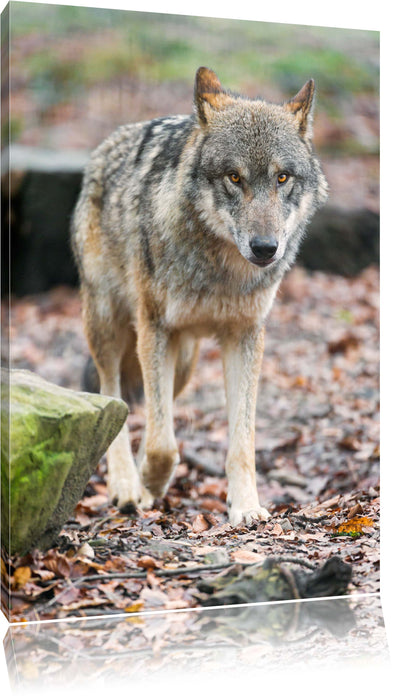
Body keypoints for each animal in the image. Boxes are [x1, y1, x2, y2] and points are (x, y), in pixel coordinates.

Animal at [71, 67, 328, 526]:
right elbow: (163, 445)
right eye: (234, 177)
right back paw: (126, 486)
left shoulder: (245, 337)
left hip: (183, 361)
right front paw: (147, 484)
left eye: (282, 178)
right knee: (111, 396)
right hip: (109, 327)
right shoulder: (154, 328)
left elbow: (240, 443)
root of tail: (106, 146)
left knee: (150, 410)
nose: (266, 248)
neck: (220, 271)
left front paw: (246, 507)